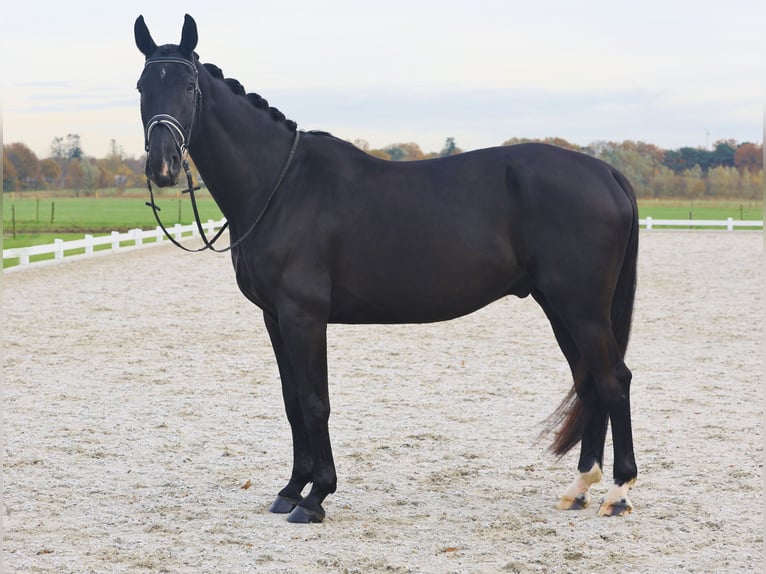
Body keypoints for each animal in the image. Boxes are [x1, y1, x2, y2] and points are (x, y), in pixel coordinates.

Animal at [135, 14, 640, 528]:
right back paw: (579, 487)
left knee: (613, 380)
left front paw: (316, 496)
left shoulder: (303, 316)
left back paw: (618, 491)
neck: (281, 185)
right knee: (590, 381)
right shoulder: (274, 317)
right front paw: (291, 490)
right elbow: (292, 402)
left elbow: (315, 402)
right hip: (560, 308)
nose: (162, 165)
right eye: (142, 86)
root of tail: (607, 174)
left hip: (581, 309)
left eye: (189, 86)